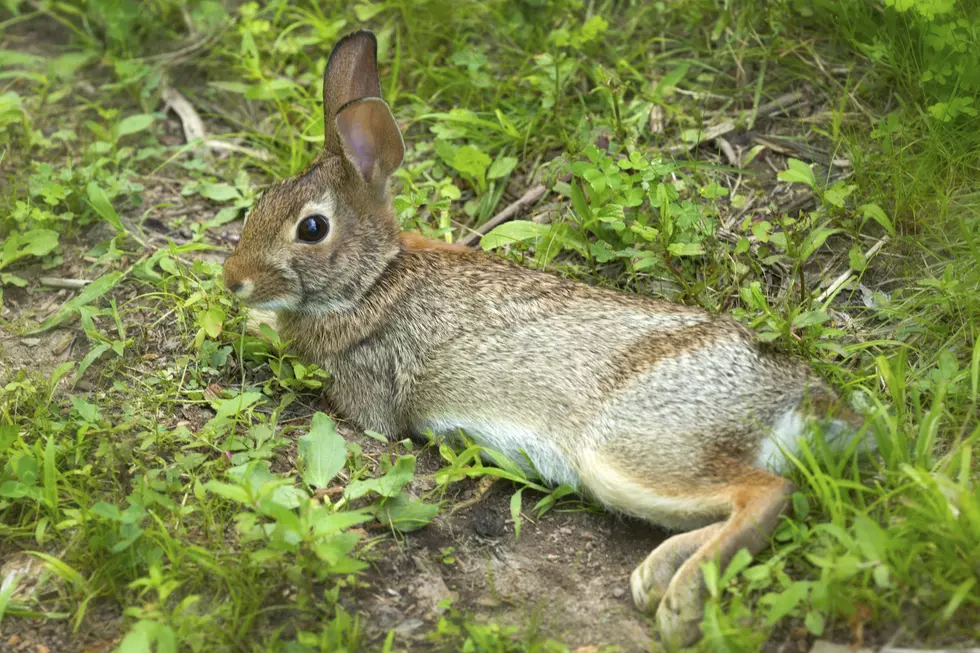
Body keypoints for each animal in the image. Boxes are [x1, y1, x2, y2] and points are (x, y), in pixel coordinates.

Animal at [218, 29, 860, 648]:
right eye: (260, 202)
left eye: (312, 228)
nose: (233, 281)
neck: (374, 277)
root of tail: (799, 400)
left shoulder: (370, 392)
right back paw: (655, 578)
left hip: (631, 449)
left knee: (767, 493)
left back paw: (680, 604)